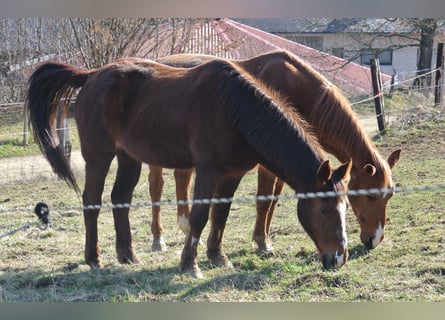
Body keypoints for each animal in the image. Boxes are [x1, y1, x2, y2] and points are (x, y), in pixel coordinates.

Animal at [26, 57, 352, 278]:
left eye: (345, 207)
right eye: (324, 209)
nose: (339, 257)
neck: (235, 109)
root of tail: (91, 76)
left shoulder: (232, 173)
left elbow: (221, 213)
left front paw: (217, 257)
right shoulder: (207, 170)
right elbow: (199, 216)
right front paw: (190, 265)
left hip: (129, 157)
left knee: (120, 199)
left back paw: (128, 255)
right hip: (99, 157)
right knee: (92, 202)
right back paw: (94, 259)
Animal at [150, 51, 402, 254]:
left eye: (389, 195)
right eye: (371, 196)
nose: (375, 239)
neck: (300, 91)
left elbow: (273, 201)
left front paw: (265, 239)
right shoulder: (267, 163)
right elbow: (264, 200)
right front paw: (261, 243)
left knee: (182, 180)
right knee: (156, 189)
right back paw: (158, 239)